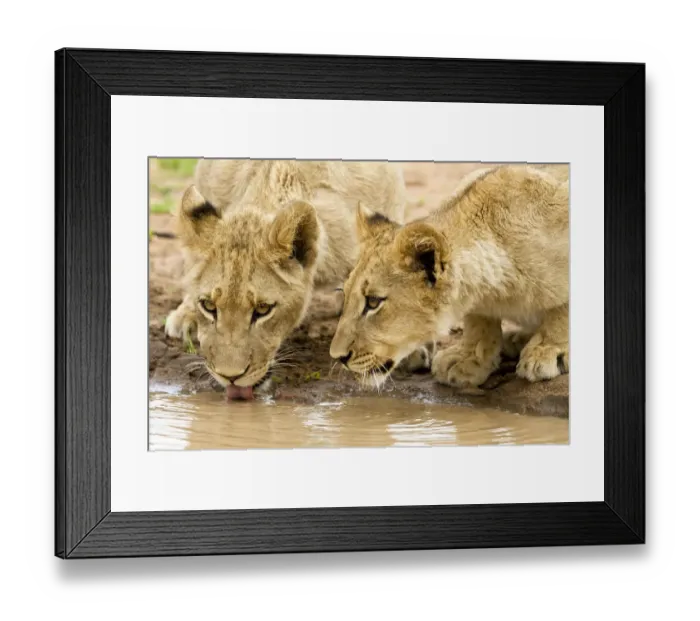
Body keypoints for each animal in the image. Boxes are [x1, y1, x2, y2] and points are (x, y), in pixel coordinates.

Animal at [329, 164, 570, 390]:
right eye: (345, 295)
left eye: (373, 302)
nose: (338, 357)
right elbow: (478, 320)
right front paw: (467, 358)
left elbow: (561, 310)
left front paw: (547, 350)